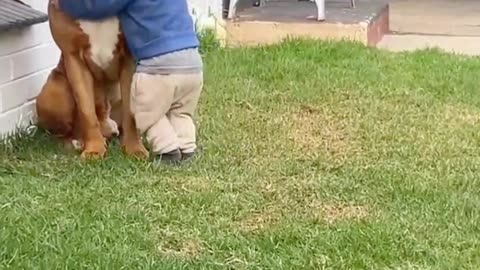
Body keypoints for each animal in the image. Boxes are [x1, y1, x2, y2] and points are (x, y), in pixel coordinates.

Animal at [35, 2, 147, 158]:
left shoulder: (129, 58)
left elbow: (130, 113)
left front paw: (135, 148)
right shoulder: (74, 58)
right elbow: (87, 111)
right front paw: (94, 149)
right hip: (54, 93)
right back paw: (76, 142)